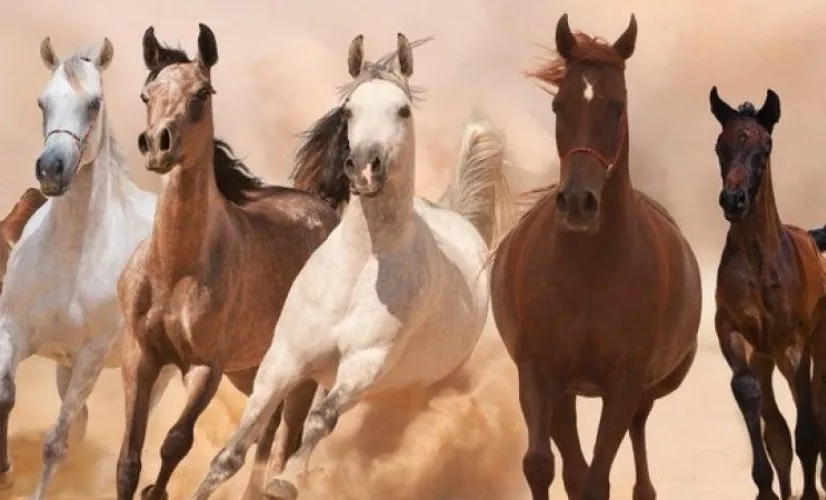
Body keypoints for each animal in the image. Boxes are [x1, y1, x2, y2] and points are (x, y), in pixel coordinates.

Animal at [0, 37, 174, 500]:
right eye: (42, 101)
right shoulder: (14, 331)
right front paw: (5, 468)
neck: (70, 259)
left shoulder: (90, 360)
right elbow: (7, 396)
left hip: (155, 374)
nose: (51, 169)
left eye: (94, 103)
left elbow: (55, 444)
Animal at [115, 24, 340, 500]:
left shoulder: (206, 367)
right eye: (147, 94)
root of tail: (325, 207)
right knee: (267, 428)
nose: (157, 145)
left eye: (202, 93)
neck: (176, 271)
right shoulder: (140, 356)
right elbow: (129, 460)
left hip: (299, 374)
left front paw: (157, 491)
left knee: (285, 437)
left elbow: (175, 443)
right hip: (253, 370)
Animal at [186, 32, 513, 500]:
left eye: (403, 109)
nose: (364, 168)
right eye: (349, 110)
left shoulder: (364, 365)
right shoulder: (284, 359)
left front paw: (285, 482)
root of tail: (459, 217)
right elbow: (233, 450)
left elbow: (320, 421)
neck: (360, 268)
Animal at [489, 14, 702, 500]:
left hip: (643, 390)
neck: (587, 272)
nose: (577, 202)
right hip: (566, 392)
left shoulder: (624, 383)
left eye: (618, 107)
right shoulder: (538, 372)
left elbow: (595, 478)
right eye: (558, 106)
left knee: (637, 436)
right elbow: (542, 465)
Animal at [709, 86, 826, 500]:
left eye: (766, 146)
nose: (734, 200)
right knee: (776, 425)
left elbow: (807, 428)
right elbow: (751, 399)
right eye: (720, 145)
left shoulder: (794, 347)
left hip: (814, 346)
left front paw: (809, 494)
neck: (761, 266)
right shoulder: (732, 330)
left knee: (816, 405)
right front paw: (766, 489)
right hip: (764, 356)